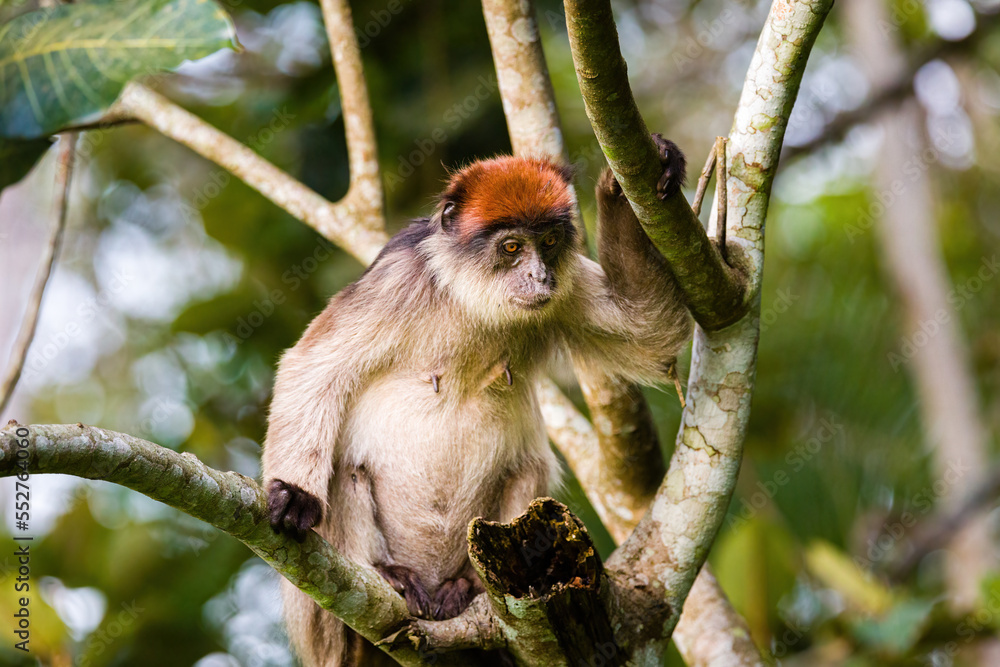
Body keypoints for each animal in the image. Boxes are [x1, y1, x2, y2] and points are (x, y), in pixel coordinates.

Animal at [262, 133, 692, 666]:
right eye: (511, 247)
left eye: (549, 243)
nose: (540, 278)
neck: (469, 299)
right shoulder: (398, 279)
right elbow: (313, 367)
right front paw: (293, 496)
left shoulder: (565, 286)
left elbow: (652, 333)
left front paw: (629, 178)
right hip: (325, 620)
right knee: (347, 466)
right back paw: (387, 577)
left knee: (527, 467)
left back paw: (464, 587)